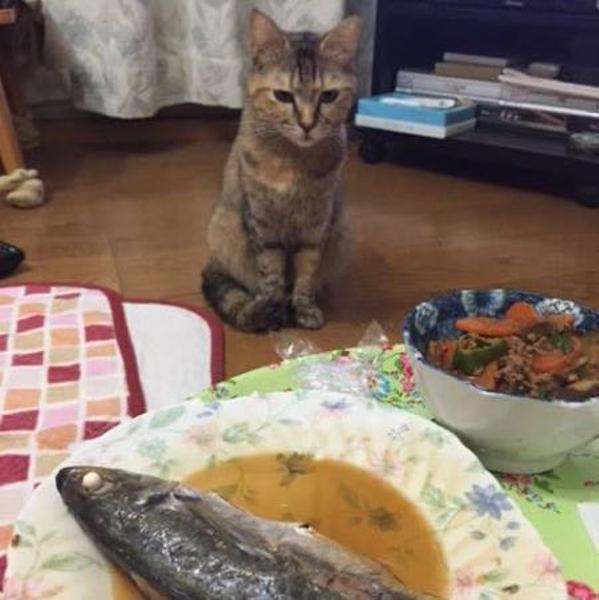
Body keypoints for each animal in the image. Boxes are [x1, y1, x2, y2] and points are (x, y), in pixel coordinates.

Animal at [202, 9, 361, 333]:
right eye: (283, 96)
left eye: (328, 96)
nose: (307, 124)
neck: (293, 163)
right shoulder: (262, 223)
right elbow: (271, 274)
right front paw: (273, 308)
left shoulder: (316, 225)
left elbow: (306, 272)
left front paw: (304, 308)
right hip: (224, 230)